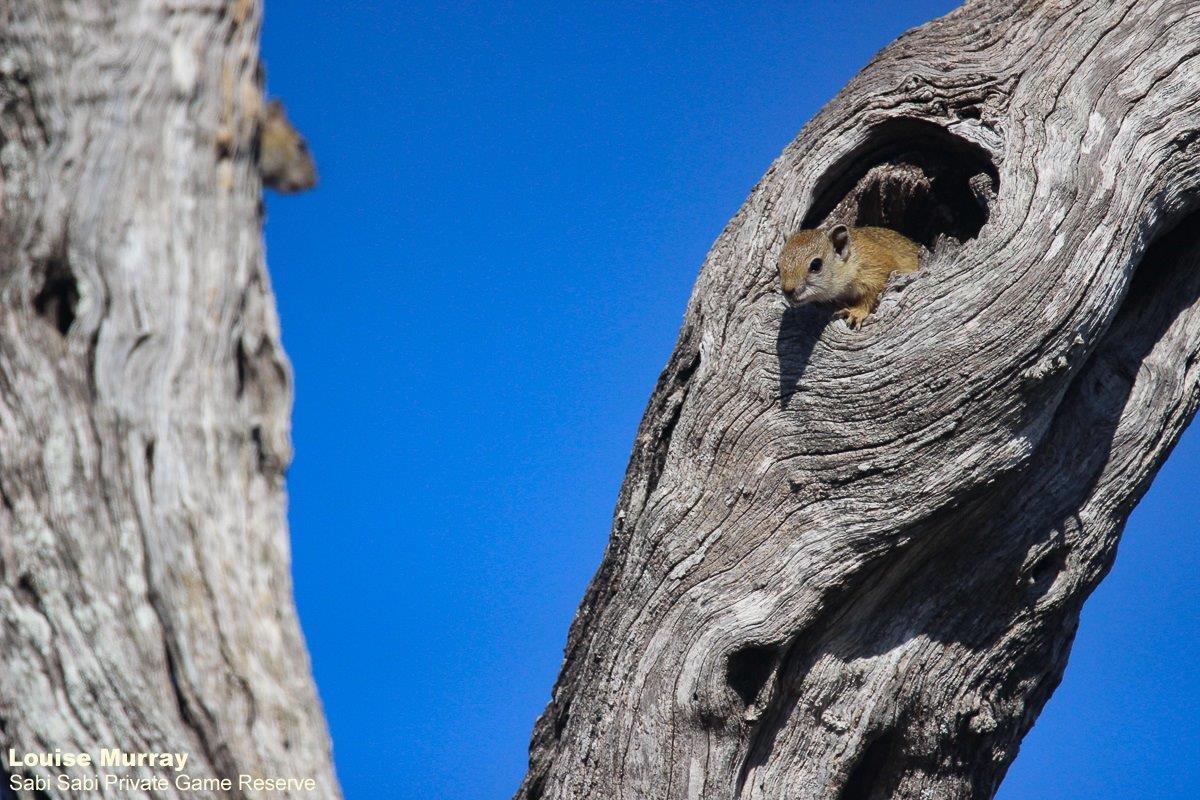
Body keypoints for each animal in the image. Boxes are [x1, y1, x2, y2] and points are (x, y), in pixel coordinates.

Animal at [778, 224, 921, 328]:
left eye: (816, 265)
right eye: (777, 265)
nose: (788, 291)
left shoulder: (877, 274)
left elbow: (869, 298)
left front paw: (856, 313)